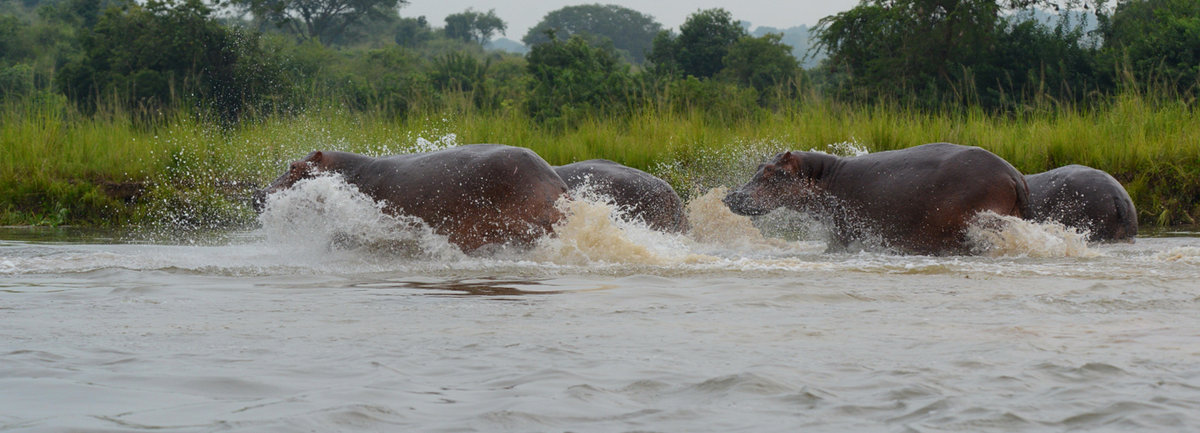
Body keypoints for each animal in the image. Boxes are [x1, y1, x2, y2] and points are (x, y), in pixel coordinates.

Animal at [720, 143, 1032, 254]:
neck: (823, 177)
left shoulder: (842, 229)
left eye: (772, 173)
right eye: (759, 166)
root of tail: (1014, 174)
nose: (730, 195)